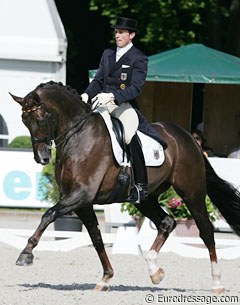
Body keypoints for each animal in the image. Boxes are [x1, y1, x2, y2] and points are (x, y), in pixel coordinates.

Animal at [10, 81, 240, 292]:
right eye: (23, 120)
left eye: (40, 119)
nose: (42, 158)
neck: (79, 135)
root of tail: (187, 137)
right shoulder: (80, 202)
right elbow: (96, 237)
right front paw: (106, 278)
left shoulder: (81, 194)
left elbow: (48, 215)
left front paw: (26, 254)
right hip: (144, 198)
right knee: (167, 222)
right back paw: (154, 271)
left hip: (192, 192)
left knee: (206, 230)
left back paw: (217, 283)